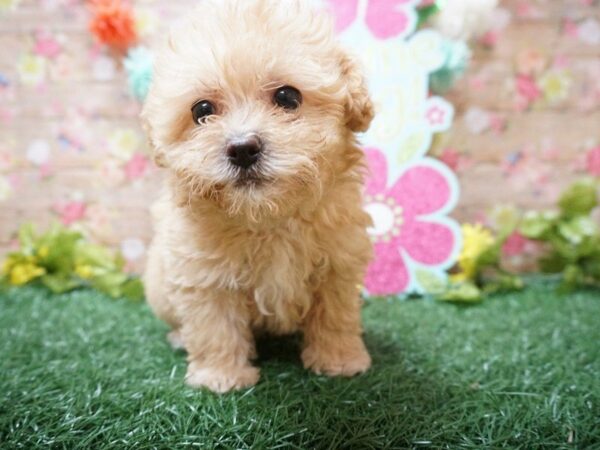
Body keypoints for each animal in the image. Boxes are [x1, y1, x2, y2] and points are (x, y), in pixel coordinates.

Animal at [142, 0, 376, 394]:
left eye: (287, 97)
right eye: (201, 110)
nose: (242, 148)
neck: (267, 216)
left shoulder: (338, 262)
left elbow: (335, 313)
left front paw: (339, 360)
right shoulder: (203, 273)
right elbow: (214, 325)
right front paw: (221, 376)